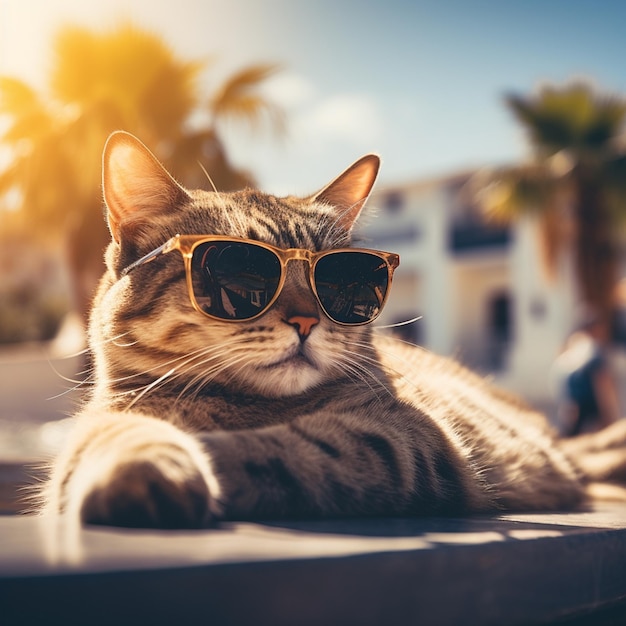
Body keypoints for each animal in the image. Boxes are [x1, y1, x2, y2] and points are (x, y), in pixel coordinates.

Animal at [41, 132, 624, 528]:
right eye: (242, 274)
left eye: (343, 280)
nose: (307, 319)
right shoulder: (100, 423)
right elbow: (113, 436)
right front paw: (142, 462)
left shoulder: (405, 436)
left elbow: (284, 450)